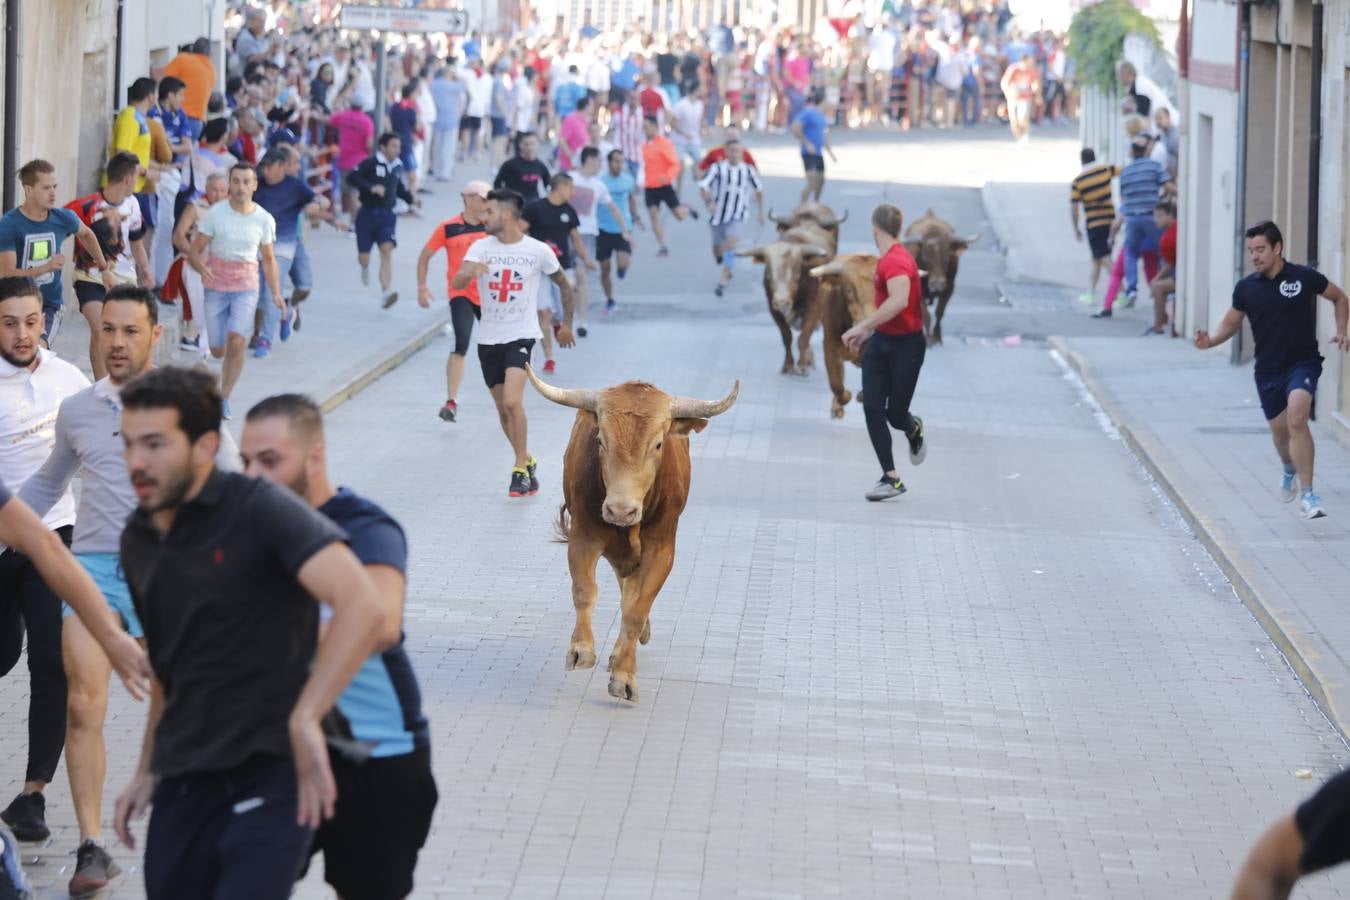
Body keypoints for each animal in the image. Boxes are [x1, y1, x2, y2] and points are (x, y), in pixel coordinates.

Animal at [526, 367, 739, 701]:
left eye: (658, 445)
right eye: (600, 440)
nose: (620, 510)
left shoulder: (661, 550)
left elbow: (637, 610)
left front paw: (624, 675)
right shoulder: (583, 537)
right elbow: (585, 591)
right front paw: (581, 649)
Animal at [739, 222, 831, 377]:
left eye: (796, 270)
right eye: (768, 271)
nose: (782, 302)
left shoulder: (815, 307)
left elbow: (804, 336)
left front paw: (802, 365)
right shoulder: (773, 308)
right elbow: (787, 336)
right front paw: (787, 365)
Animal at [901, 209, 977, 348]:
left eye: (947, 257)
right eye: (925, 257)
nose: (937, 284)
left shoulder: (949, 288)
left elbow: (939, 312)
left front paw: (937, 338)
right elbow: (926, 315)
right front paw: (929, 340)